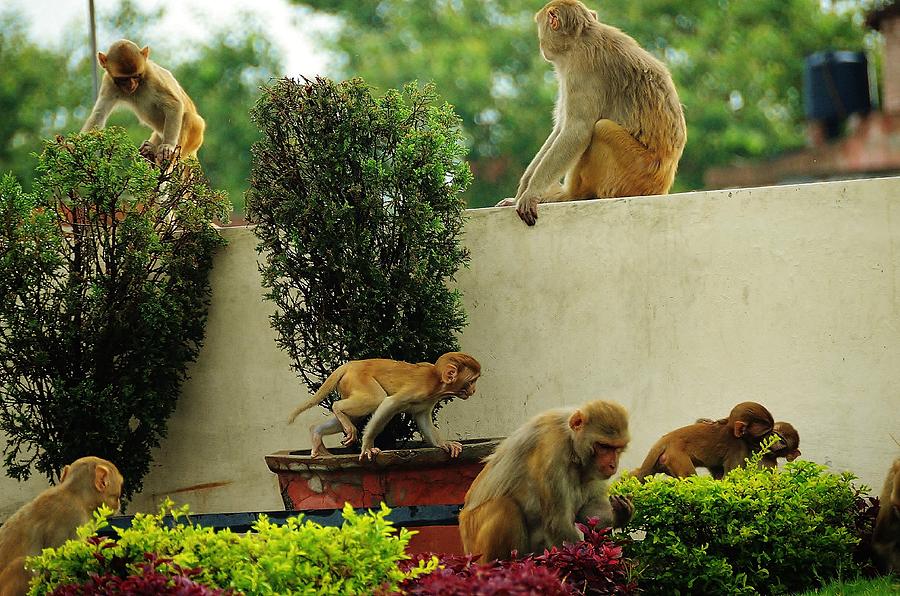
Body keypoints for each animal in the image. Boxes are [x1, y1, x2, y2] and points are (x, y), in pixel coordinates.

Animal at [0, 456, 125, 592]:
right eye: (116, 496)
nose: (118, 504)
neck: (76, 495)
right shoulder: (73, 517)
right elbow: (58, 561)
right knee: (23, 565)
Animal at [288, 354, 486, 460]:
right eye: (471, 382)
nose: (474, 390)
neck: (438, 382)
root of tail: (351, 364)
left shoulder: (426, 402)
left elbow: (423, 419)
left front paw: (444, 444)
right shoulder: (419, 388)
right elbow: (388, 403)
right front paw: (368, 446)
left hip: (348, 384)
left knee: (355, 416)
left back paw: (316, 432)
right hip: (358, 379)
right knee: (374, 399)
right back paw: (337, 408)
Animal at [458, 398, 632, 560]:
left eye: (616, 448)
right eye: (604, 446)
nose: (612, 465)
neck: (572, 445)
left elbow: (589, 512)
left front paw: (620, 513)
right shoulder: (553, 451)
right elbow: (558, 523)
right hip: (473, 538)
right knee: (505, 506)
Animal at [496, 0, 684, 226]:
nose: (541, 45)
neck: (581, 36)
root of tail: (662, 186)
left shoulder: (581, 70)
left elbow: (577, 130)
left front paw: (532, 193)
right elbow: (560, 129)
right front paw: (519, 194)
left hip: (637, 171)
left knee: (600, 128)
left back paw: (570, 195)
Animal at [632, 400, 780, 480]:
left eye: (771, 431)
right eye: (764, 434)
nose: (770, 440)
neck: (731, 429)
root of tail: (666, 439)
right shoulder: (739, 447)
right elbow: (729, 476)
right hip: (675, 456)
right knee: (688, 476)